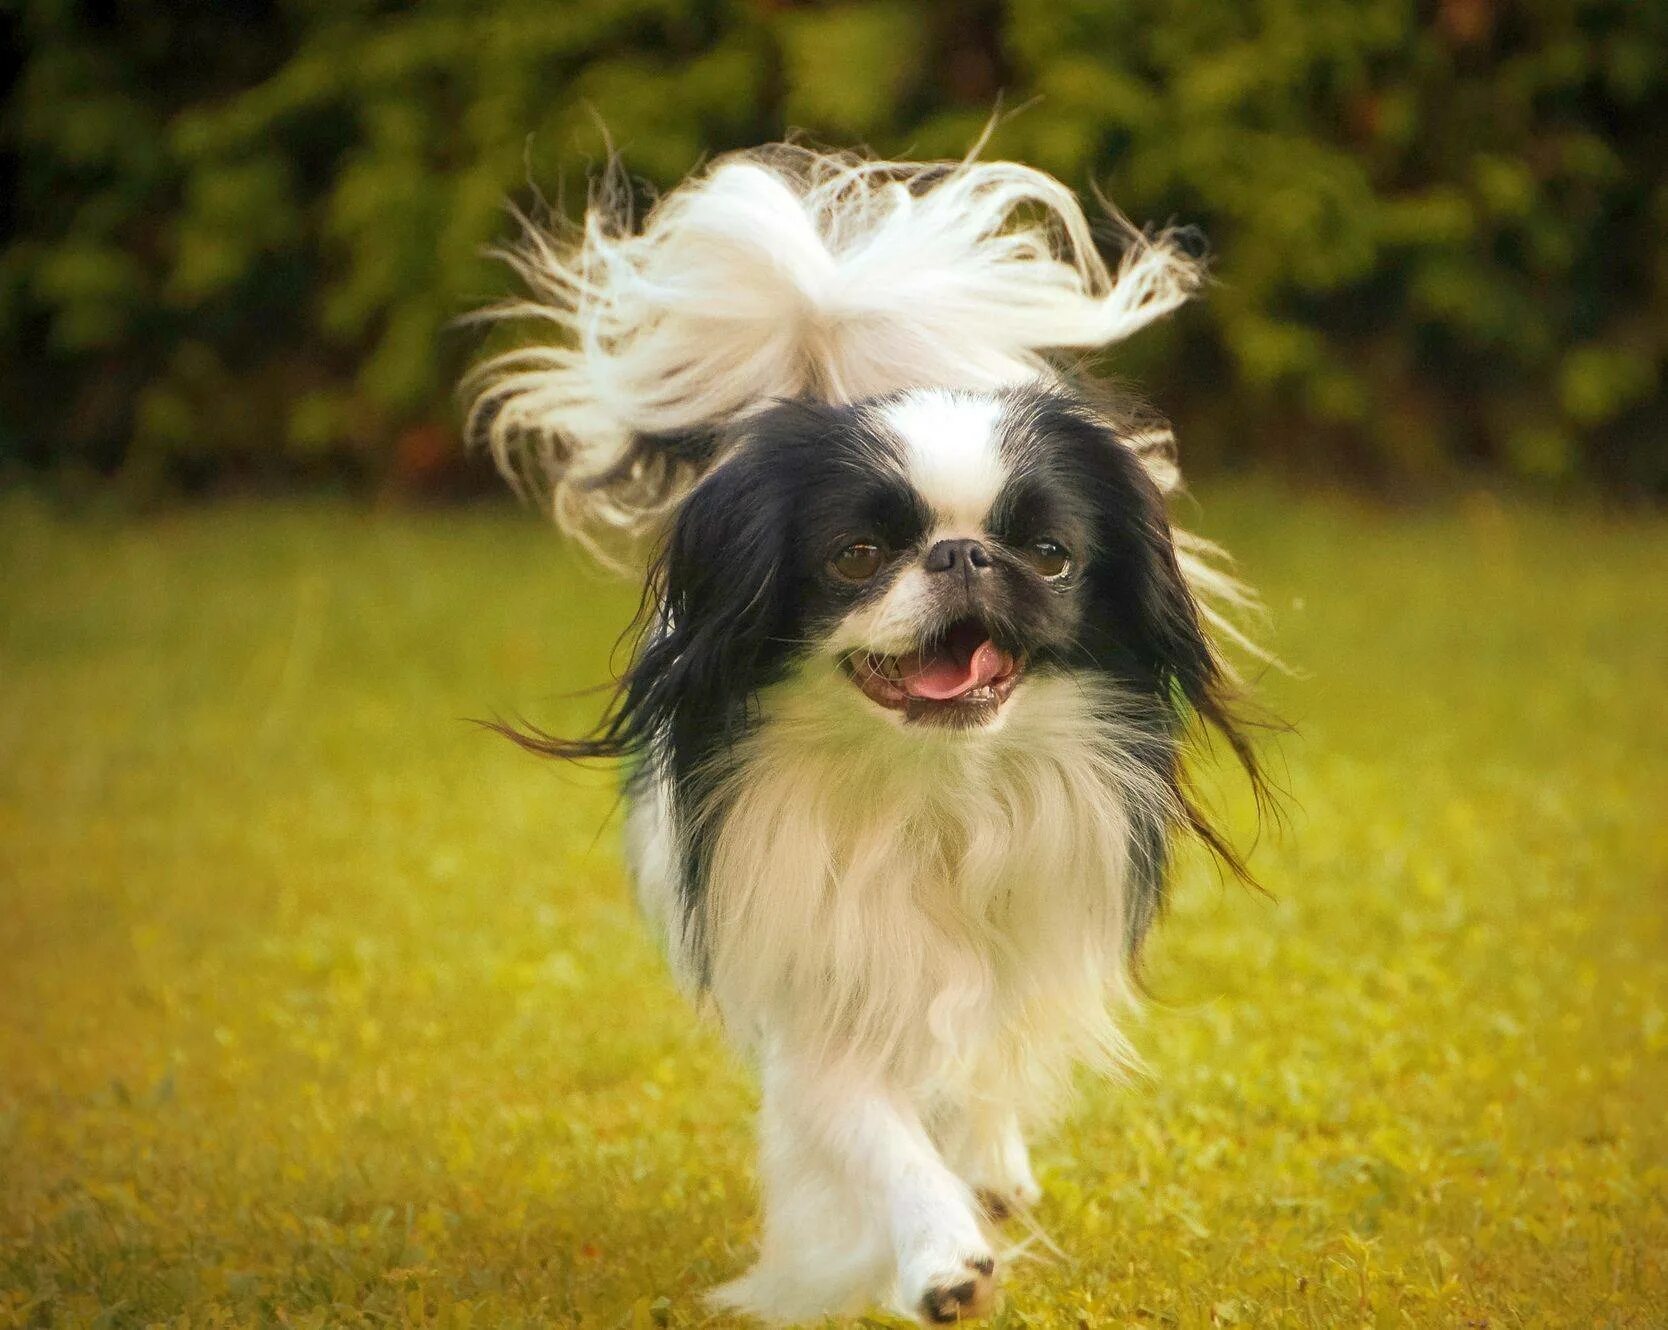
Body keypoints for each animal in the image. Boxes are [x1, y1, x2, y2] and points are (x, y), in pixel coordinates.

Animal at [463, 140, 1254, 1321]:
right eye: (856, 556)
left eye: (1050, 555)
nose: (964, 553)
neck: (933, 787)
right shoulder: (811, 971)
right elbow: (868, 1127)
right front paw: (941, 1259)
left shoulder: (1018, 943)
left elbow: (979, 1071)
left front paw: (981, 1183)